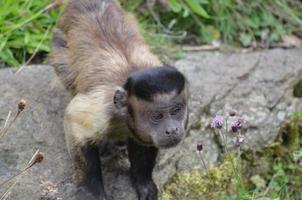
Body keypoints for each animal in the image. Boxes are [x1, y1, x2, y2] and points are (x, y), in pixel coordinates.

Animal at [51, 0, 189, 199]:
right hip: (59, 45)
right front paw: (92, 191)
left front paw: (143, 183)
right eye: (157, 117)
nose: (172, 129)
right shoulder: (101, 108)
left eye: (176, 111)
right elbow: (75, 122)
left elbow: (143, 144)